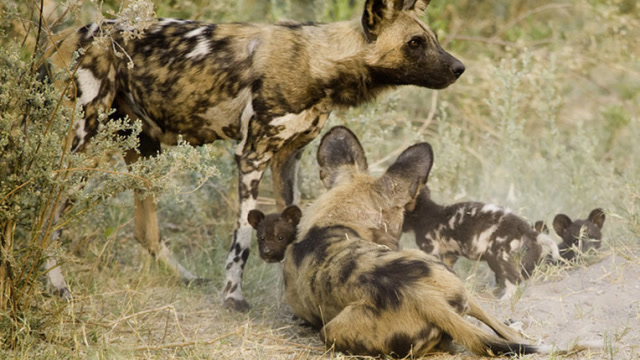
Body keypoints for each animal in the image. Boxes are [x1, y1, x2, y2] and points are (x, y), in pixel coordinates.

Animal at [43, 0, 464, 310]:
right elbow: (243, 239)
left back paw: (184, 277)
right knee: (50, 216)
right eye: (415, 43)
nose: (459, 68)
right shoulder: (252, 156)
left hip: (143, 147)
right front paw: (234, 297)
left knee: (145, 230)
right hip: (83, 142)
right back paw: (58, 285)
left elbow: (294, 226)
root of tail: (61, 34)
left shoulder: (287, 159)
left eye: (432, 38)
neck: (319, 64)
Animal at [402, 188, 564, 298]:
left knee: (513, 281)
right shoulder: (449, 255)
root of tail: (523, 227)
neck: (427, 213)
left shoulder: (430, 249)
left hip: (497, 257)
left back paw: (504, 299)